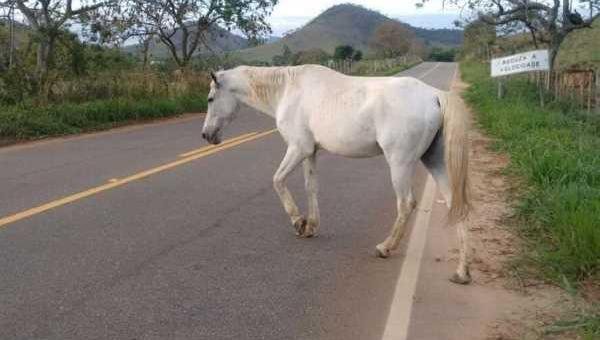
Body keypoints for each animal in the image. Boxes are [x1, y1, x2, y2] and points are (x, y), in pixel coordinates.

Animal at [202, 64, 474, 284]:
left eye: (211, 98)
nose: (206, 135)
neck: (288, 90)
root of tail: (435, 96)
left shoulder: (298, 148)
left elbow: (277, 181)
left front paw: (298, 221)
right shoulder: (310, 152)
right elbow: (311, 187)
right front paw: (310, 226)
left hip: (400, 163)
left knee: (406, 204)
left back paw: (385, 247)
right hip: (434, 161)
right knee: (455, 204)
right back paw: (462, 272)